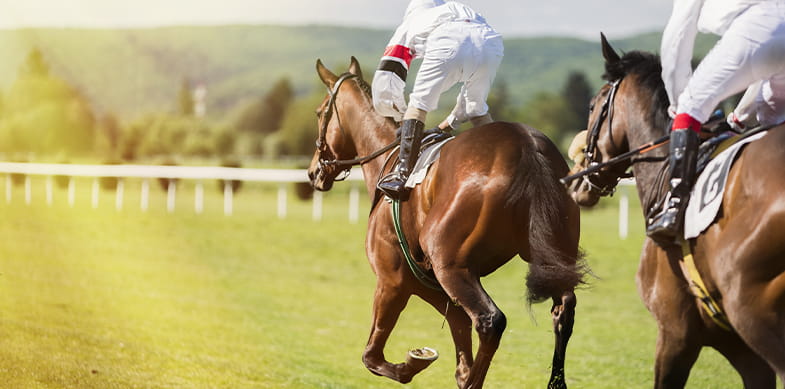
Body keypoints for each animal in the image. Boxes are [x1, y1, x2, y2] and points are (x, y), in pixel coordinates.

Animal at [310, 56, 584, 386]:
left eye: (320, 112)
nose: (313, 171)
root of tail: (527, 148)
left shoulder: (396, 280)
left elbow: (372, 356)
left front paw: (413, 364)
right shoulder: (430, 281)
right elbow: (459, 333)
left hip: (450, 267)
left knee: (491, 321)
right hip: (552, 258)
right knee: (563, 309)